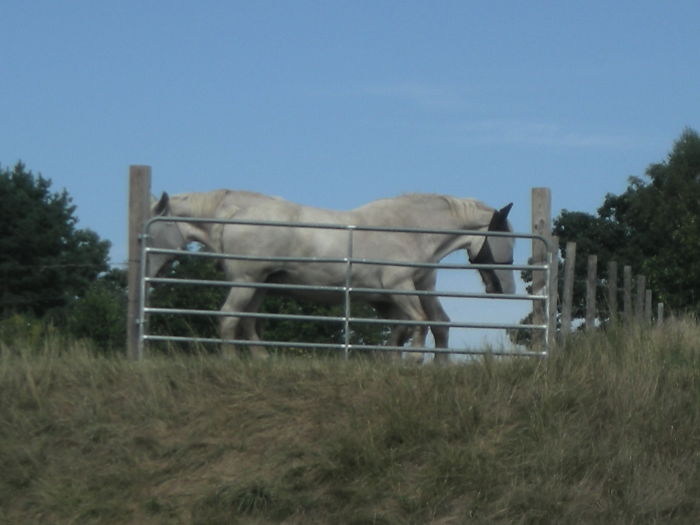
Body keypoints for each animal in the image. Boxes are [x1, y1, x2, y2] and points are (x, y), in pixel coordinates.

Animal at [146, 190, 516, 358]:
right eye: (508, 239)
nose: (505, 289)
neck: (410, 229)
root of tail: (235, 212)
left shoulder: (413, 290)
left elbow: (428, 325)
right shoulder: (399, 289)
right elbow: (418, 325)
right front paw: (411, 361)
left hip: (256, 286)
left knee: (247, 323)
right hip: (247, 283)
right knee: (229, 319)